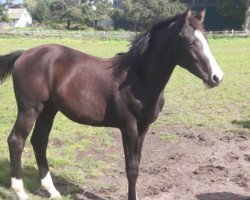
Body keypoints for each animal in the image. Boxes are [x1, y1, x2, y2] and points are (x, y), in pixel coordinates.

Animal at [0, 9, 223, 200]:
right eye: (191, 42)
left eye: (206, 39)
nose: (217, 77)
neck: (138, 78)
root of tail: (24, 54)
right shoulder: (129, 127)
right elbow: (131, 168)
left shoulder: (143, 128)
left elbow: (137, 164)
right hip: (30, 109)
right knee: (16, 140)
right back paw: (20, 192)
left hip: (48, 109)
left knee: (39, 141)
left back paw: (52, 190)